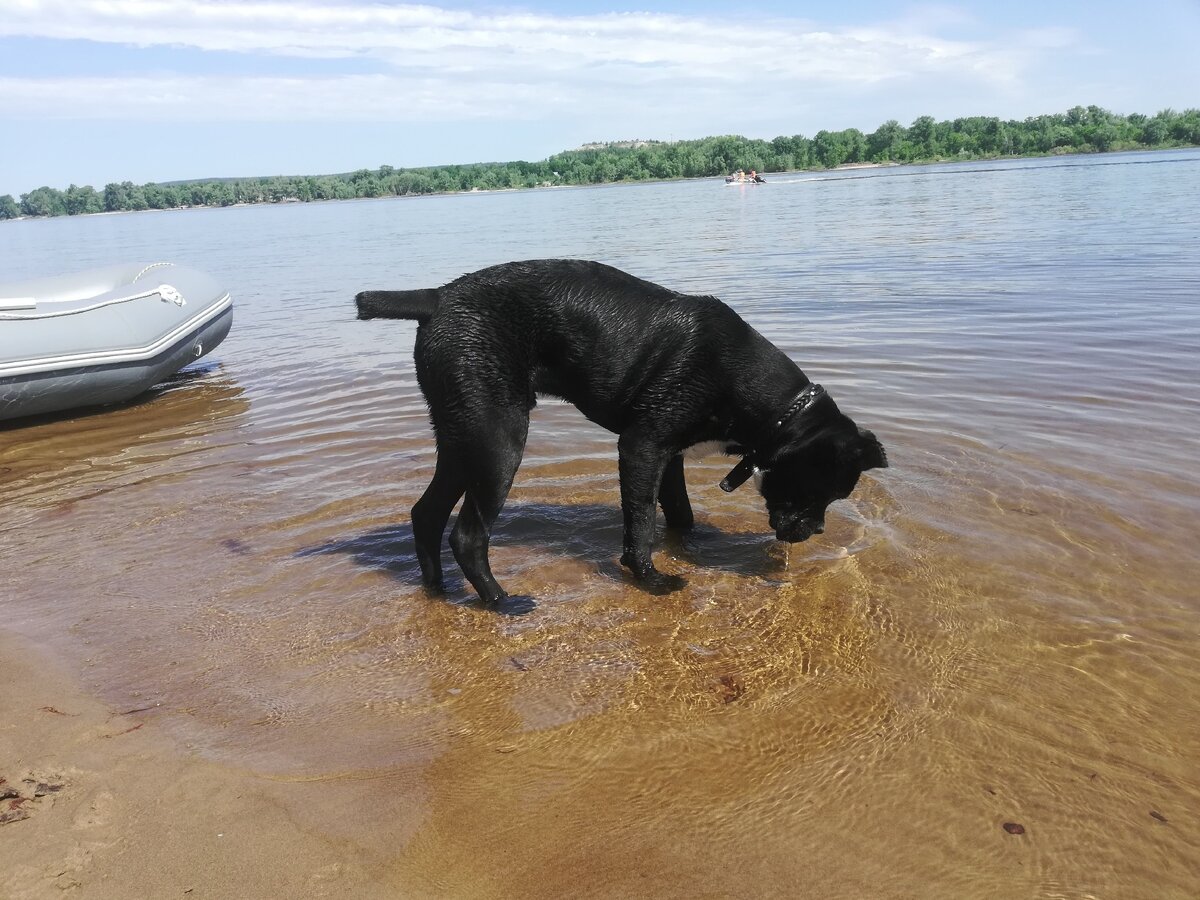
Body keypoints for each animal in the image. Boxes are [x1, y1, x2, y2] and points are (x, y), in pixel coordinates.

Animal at [350, 264, 888, 609]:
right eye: (819, 491)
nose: (815, 532)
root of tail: (437, 295)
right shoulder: (641, 447)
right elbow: (641, 522)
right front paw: (650, 580)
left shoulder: (670, 455)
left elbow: (680, 513)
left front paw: (692, 549)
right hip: (497, 440)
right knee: (467, 534)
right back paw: (500, 601)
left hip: (463, 437)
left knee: (426, 513)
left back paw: (437, 592)